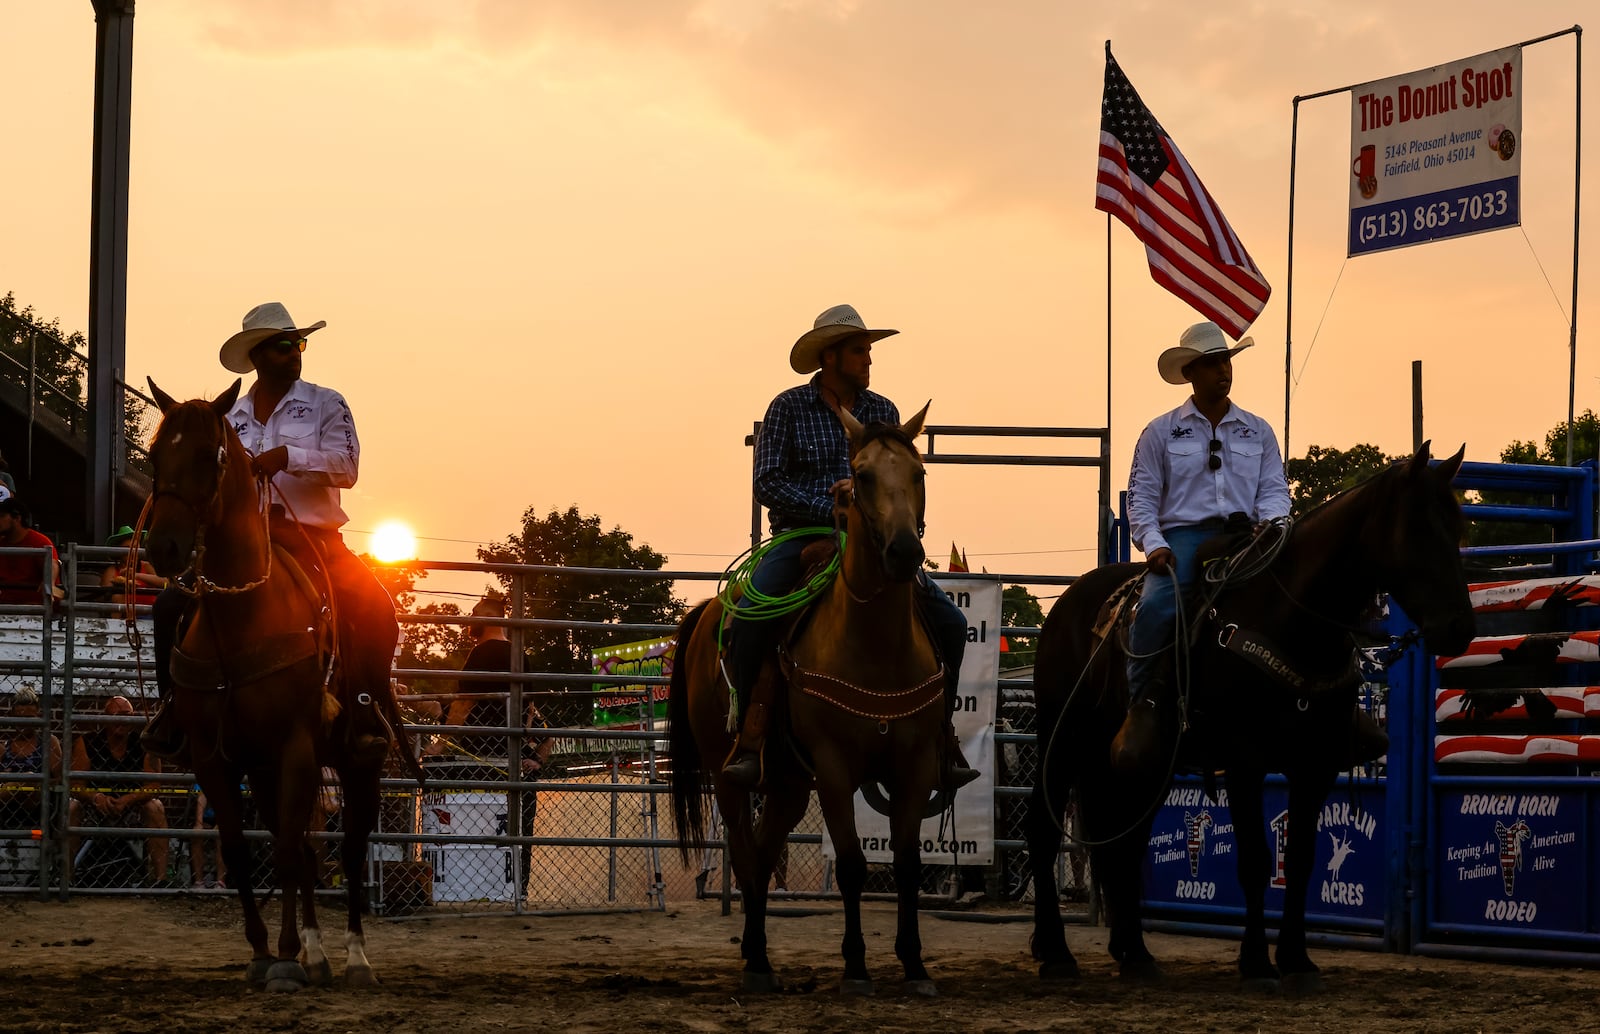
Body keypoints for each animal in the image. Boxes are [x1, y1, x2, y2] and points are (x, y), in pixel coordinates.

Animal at [143, 382, 409, 998]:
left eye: (209, 456)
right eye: (153, 456)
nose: (164, 548)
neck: (241, 615)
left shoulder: (295, 747)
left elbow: (286, 849)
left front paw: (285, 959)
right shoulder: (215, 758)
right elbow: (244, 850)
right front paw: (267, 953)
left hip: (359, 763)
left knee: (350, 850)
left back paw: (355, 959)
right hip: (266, 771)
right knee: (311, 852)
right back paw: (316, 954)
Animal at [665, 403, 947, 998]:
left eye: (919, 474)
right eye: (861, 475)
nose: (904, 552)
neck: (874, 643)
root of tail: (706, 613)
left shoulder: (914, 766)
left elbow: (908, 865)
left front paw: (914, 966)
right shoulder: (835, 768)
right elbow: (852, 866)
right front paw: (857, 968)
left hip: (790, 783)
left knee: (767, 848)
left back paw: (759, 955)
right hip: (729, 775)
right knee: (747, 854)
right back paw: (756, 961)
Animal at [1024, 441, 1472, 992]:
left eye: (1458, 529)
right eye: (1419, 529)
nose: (1461, 627)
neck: (1291, 620)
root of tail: (1069, 602)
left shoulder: (1316, 765)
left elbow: (1299, 860)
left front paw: (1297, 959)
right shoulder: (1246, 761)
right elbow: (1257, 861)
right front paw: (1257, 961)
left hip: (1140, 766)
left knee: (1125, 846)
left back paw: (1134, 953)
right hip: (1061, 737)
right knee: (1045, 831)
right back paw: (1056, 952)